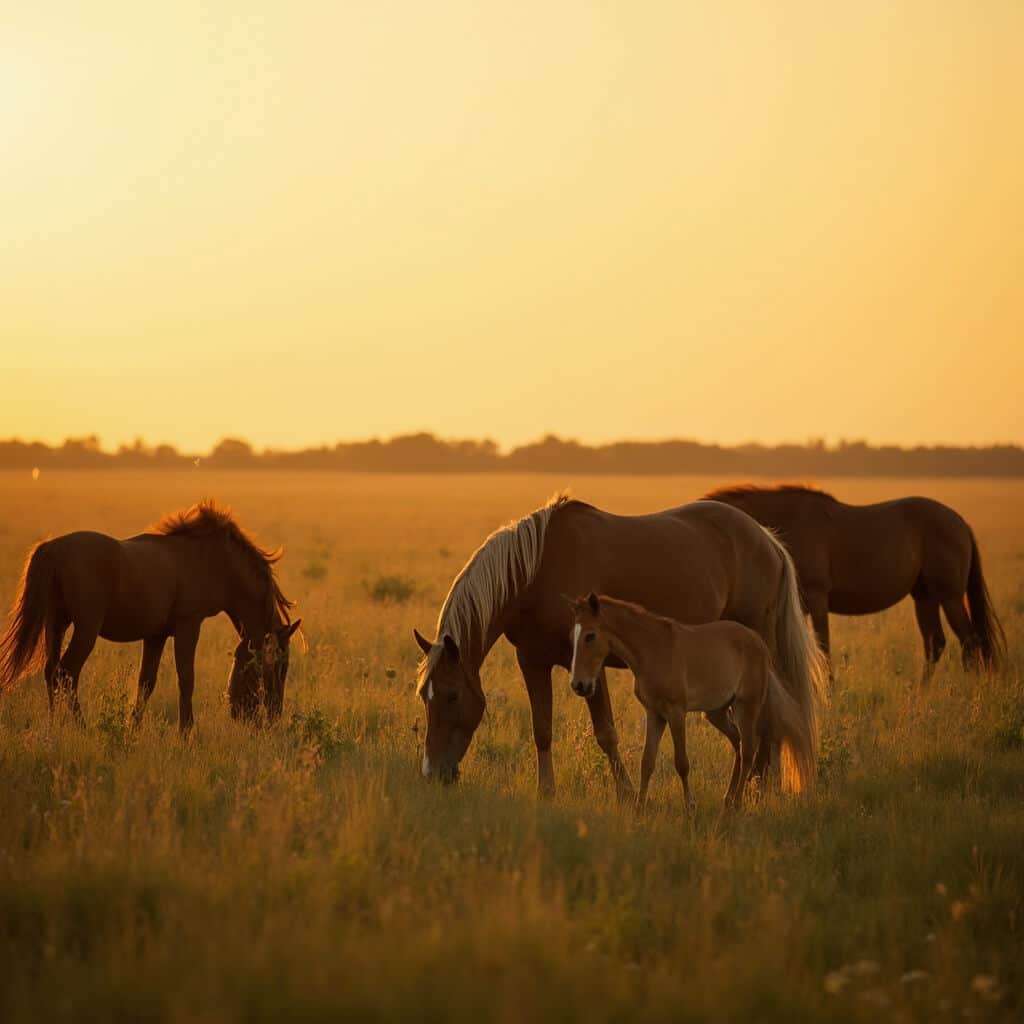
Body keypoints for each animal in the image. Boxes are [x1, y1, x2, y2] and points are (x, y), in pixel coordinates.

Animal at [0, 500, 301, 730]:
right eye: (282, 666)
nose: (275, 714)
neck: (212, 559)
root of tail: (55, 547)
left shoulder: (156, 635)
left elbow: (146, 683)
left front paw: (131, 731)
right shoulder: (188, 625)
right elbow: (186, 679)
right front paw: (187, 734)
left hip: (57, 624)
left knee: (51, 672)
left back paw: (53, 728)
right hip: (85, 629)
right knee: (67, 672)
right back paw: (81, 728)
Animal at [568, 593, 816, 813]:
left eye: (590, 636)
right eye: (573, 636)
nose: (578, 684)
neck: (653, 649)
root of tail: (759, 643)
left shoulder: (676, 712)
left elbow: (682, 763)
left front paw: (690, 806)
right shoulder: (655, 713)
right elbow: (647, 762)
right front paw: (639, 807)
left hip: (747, 706)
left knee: (748, 749)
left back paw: (736, 804)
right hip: (716, 712)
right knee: (738, 743)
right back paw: (728, 799)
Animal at [704, 485, 1006, 684]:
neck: (788, 521)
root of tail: (960, 522)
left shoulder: (817, 598)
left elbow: (823, 646)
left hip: (950, 596)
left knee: (970, 641)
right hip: (924, 597)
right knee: (936, 644)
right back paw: (923, 691)